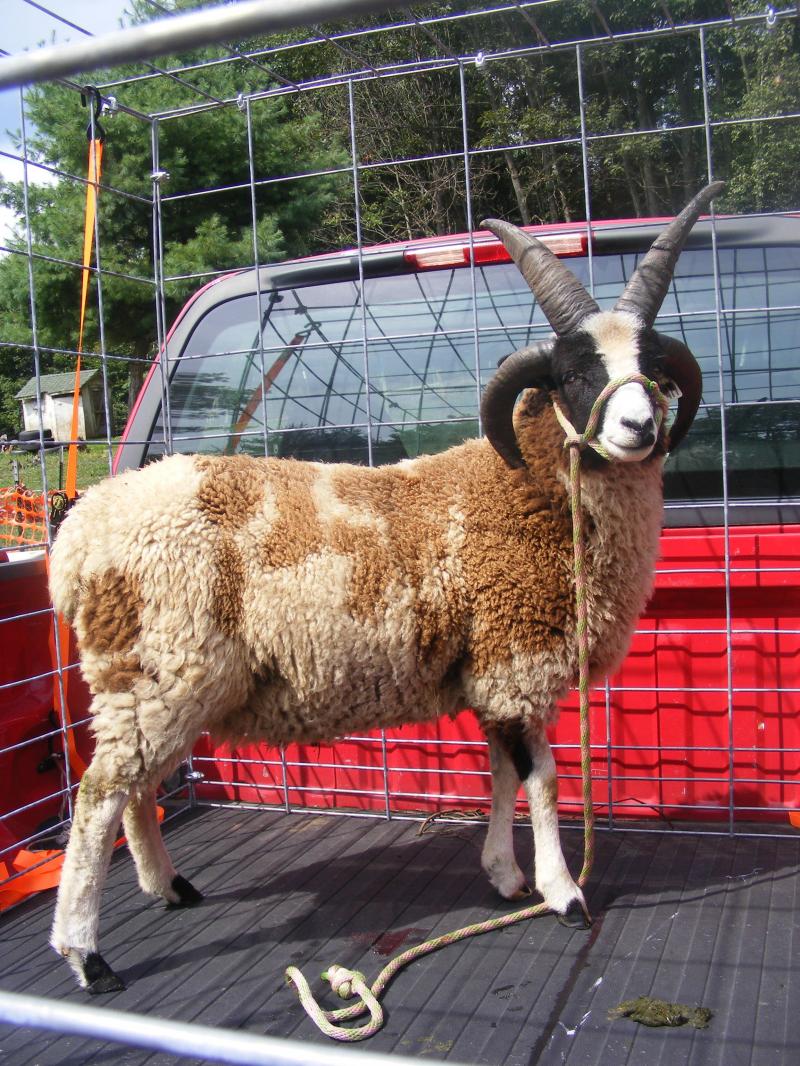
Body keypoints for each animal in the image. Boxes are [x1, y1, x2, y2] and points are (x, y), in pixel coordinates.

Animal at [48, 183, 721, 994]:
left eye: (652, 368)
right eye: (575, 375)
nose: (638, 427)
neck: (526, 489)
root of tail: (83, 532)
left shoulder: (492, 672)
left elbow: (503, 774)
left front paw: (504, 876)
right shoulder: (517, 657)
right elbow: (545, 781)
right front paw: (563, 893)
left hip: (152, 678)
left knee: (136, 788)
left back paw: (167, 887)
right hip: (158, 665)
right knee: (97, 797)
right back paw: (87, 956)